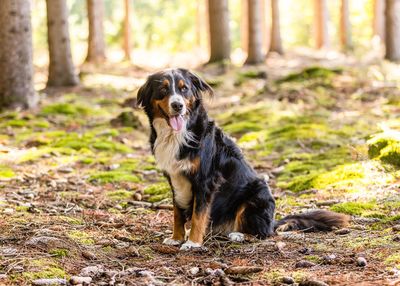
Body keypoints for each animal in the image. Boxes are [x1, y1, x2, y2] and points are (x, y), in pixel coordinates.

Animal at [136, 67, 348, 250]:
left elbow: (198, 215)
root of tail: (272, 222)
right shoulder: (175, 179)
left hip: (256, 195)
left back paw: (239, 235)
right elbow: (178, 213)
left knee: (263, 233)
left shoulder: (205, 180)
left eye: (184, 88)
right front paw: (176, 238)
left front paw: (193, 243)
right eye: (163, 89)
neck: (178, 134)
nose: (177, 105)